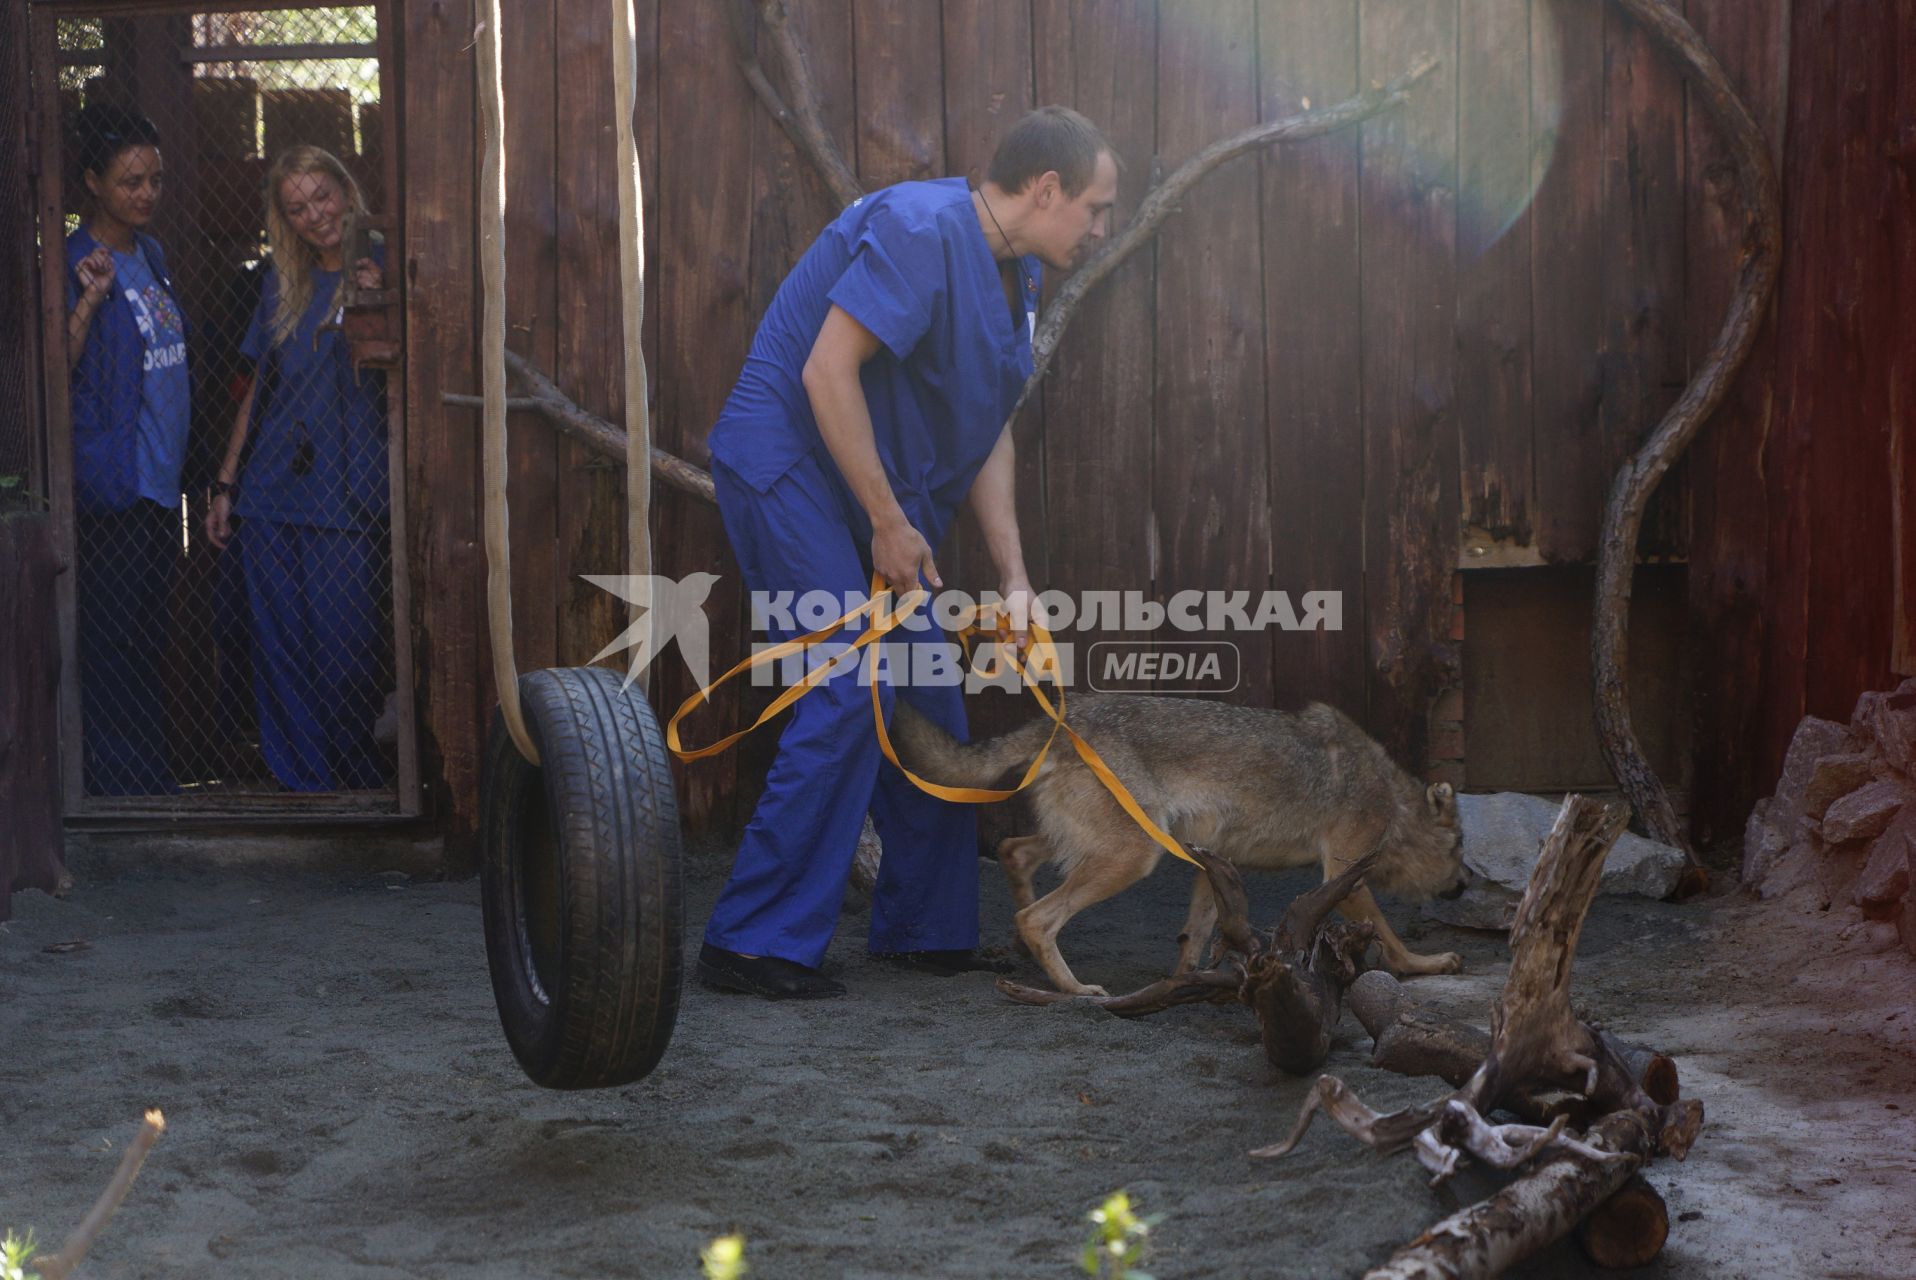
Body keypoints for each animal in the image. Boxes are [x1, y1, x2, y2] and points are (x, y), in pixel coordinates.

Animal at [885, 693, 1463, 996]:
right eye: (1460, 851)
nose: (1461, 888)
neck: (1391, 797)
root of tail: (1066, 719)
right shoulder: (1344, 873)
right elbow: (1391, 938)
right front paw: (1428, 965)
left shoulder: (1214, 864)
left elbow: (1195, 936)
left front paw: (1189, 981)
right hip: (1133, 856)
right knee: (1037, 918)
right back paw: (1074, 991)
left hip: (1097, 846)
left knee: (1013, 853)